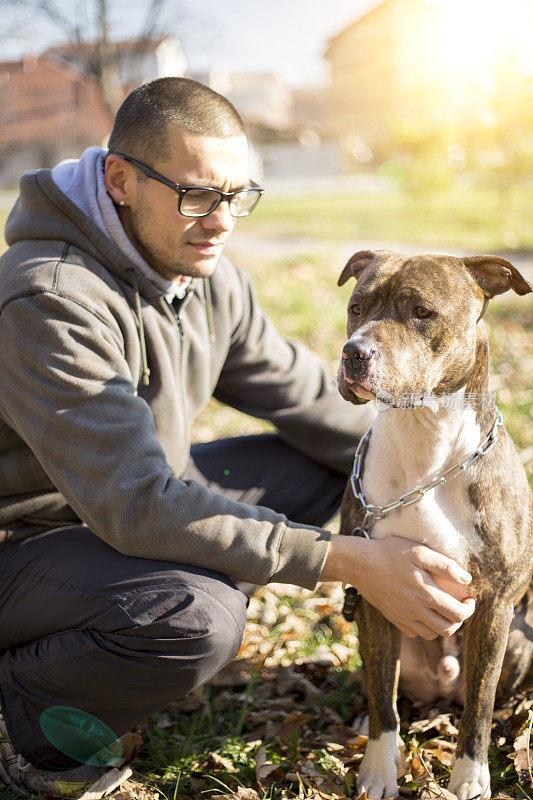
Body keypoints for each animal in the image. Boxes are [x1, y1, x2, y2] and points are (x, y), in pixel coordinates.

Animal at [336, 252, 532, 800]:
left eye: (421, 312)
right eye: (356, 307)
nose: (353, 353)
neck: (425, 439)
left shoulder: (495, 604)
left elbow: (479, 706)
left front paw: (469, 776)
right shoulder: (376, 591)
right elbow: (383, 700)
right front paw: (379, 771)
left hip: (517, 639)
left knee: (483, 699)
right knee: (387, 690)